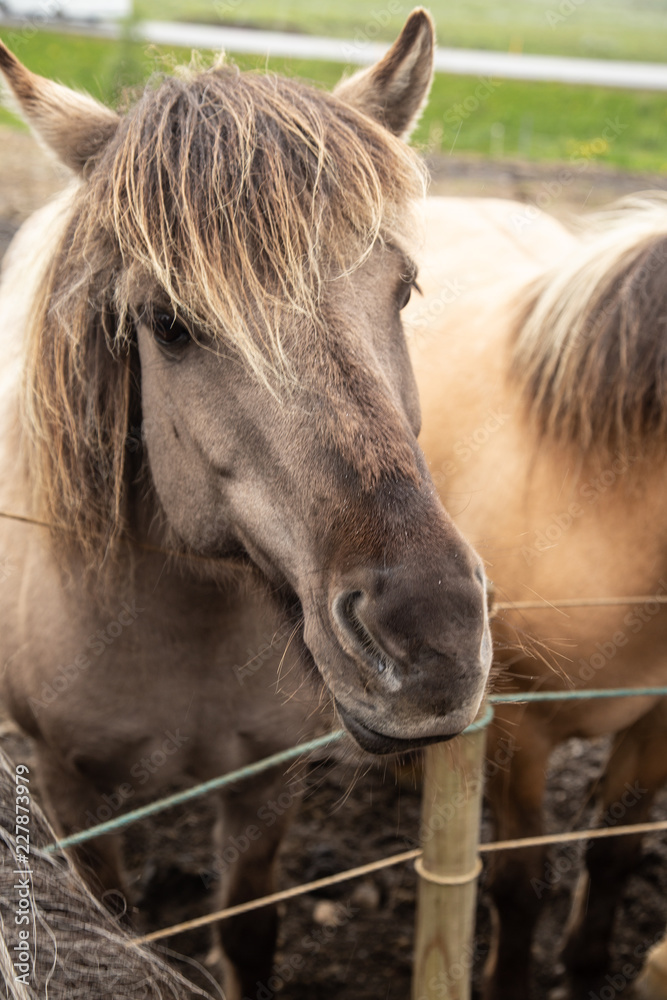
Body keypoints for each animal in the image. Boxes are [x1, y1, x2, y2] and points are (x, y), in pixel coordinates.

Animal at [0, 12, 493, 998]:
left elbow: (248, 931)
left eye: (404, 288)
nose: (433, 639)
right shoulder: (72, 797)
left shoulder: (266, 787)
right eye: (167, 323)